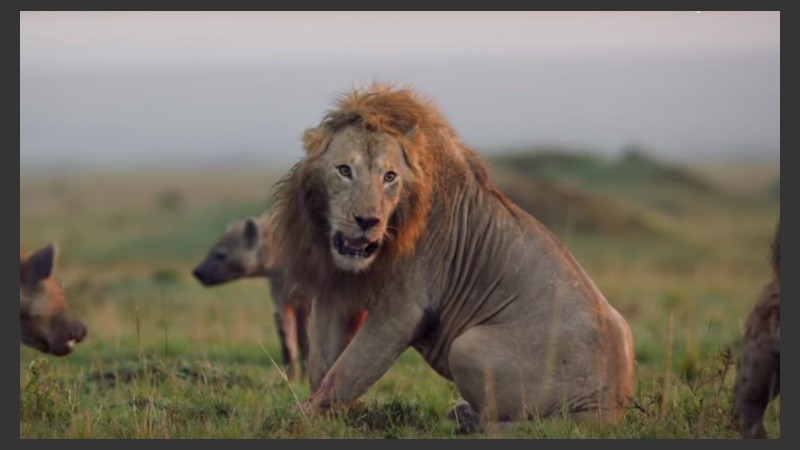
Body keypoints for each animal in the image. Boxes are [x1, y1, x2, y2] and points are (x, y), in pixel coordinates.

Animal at [270, 83, 635, 432]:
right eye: (344, 170)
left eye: (389, 177)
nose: (367, 221)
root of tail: (610, 408)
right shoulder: (334, 291)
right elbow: (322, 364)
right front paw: (328, 415)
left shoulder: (404, 307)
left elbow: (348, 369)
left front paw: (301, 417)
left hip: (467, 346)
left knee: (522, 424)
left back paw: (465, 420)